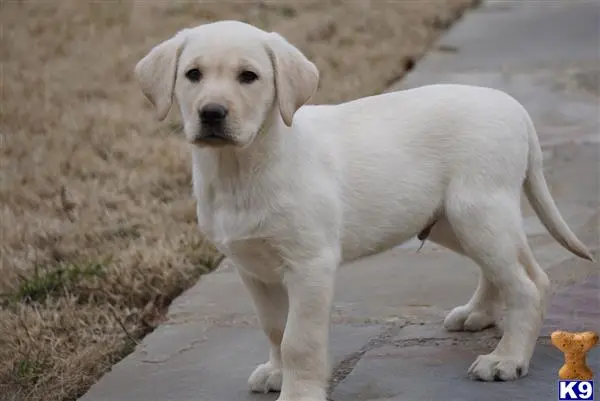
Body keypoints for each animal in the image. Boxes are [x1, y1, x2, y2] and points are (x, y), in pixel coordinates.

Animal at [135, 21, 592, 400]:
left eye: (249, 76)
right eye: (192, 74)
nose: (211, 113)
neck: (241, 168)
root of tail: (513, 106)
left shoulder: (311, 265)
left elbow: (299, 340)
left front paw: (299, 393)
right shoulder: (253, 269)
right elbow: (275, 327)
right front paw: (277, 373)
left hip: (476, 211)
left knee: (529, 283)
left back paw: (507, 359)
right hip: (452, 220)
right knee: (511, 268)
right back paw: (478, 314)